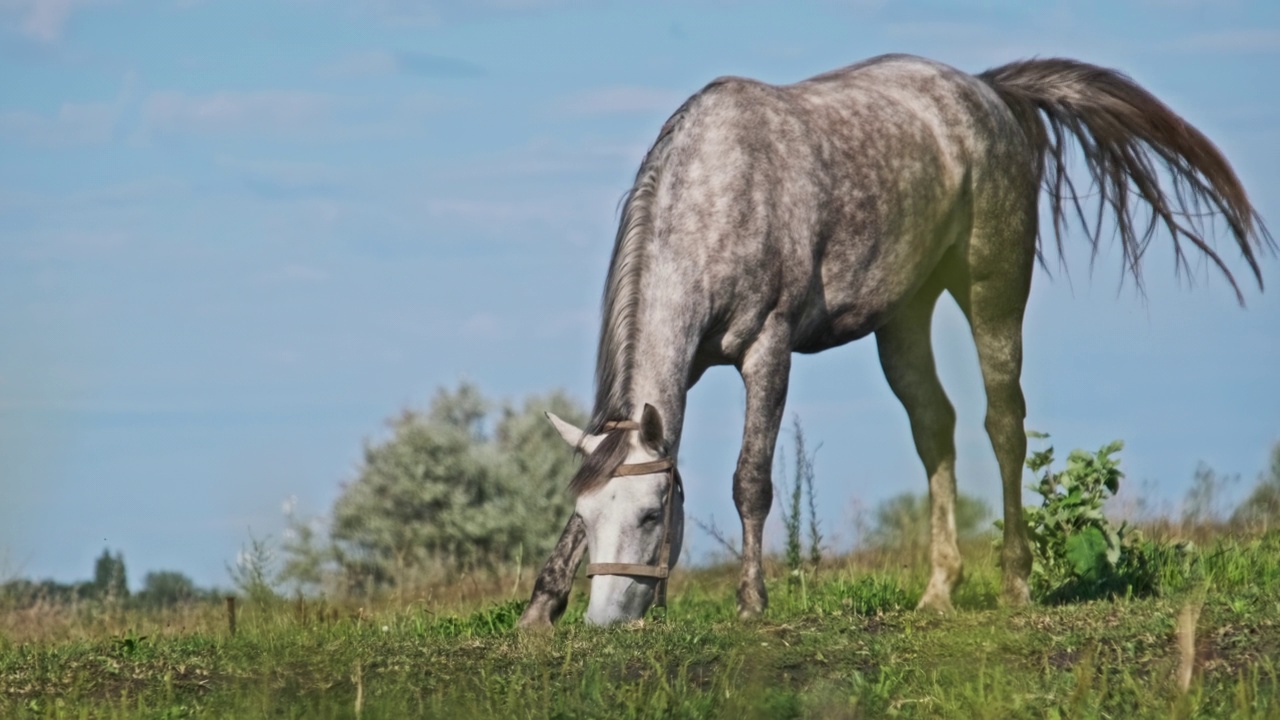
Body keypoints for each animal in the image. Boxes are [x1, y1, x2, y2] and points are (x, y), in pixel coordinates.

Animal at [517, 53, 1269, 625]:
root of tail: (988, 93)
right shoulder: (690, 369)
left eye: (652, 515)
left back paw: (1015, 581)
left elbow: (750, 479)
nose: (606, 620)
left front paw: (752, 601)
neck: (720, 193)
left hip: (993, 290)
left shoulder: (768, 350)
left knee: (1005, 424)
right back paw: (939, 590)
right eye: (588, 512)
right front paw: (539, 608)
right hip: (904, 317)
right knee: (937, 428)